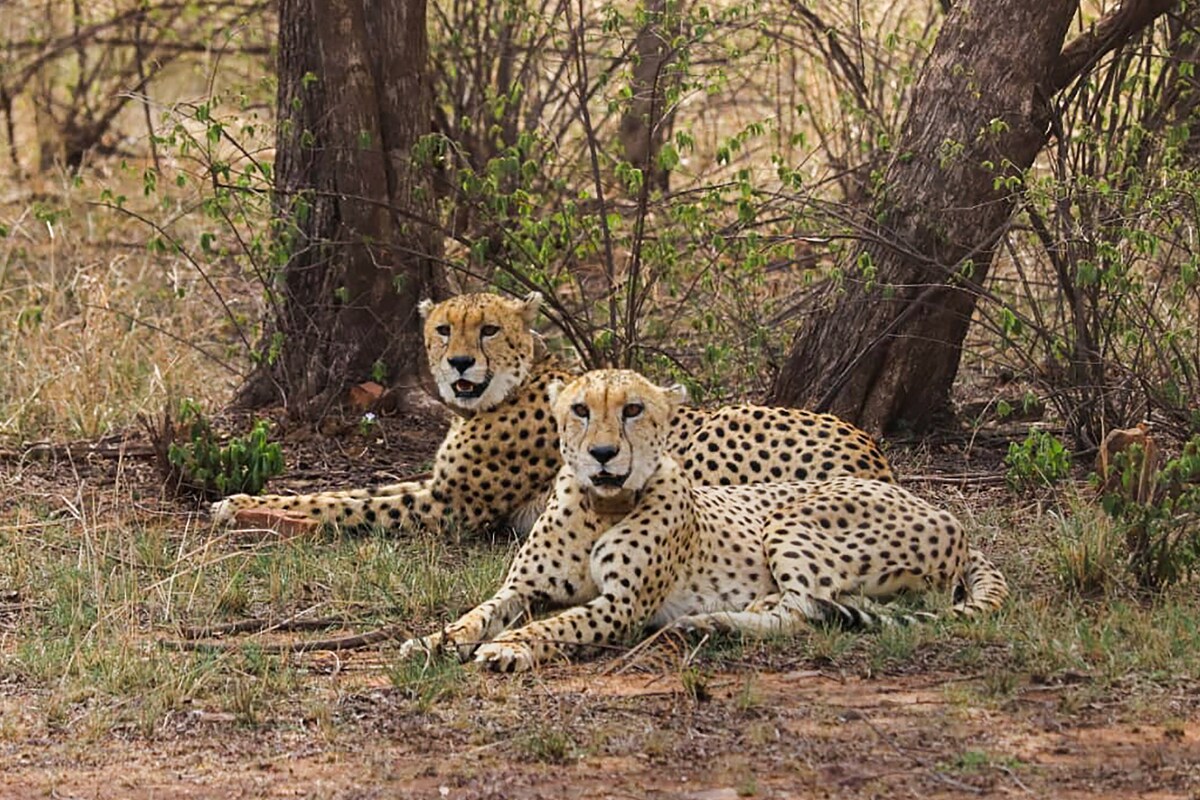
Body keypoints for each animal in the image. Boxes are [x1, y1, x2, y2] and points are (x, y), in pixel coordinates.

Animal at [211, 291, 895, 537]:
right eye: (443, 329)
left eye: (488, 329)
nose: (459, 364)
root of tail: (874, 452)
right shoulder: (438, 486)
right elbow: (350, 489)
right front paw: (243, 500)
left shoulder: (453, 506)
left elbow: (346, 505)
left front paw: (248, 511)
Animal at [399, 368, 1008, 673]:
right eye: (580, 410)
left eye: (633, 409)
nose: (602, 455)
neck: (602, 506)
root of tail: (946, 515)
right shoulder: (523, 587)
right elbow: (478, 613)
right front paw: (434, 640)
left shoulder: (622, 606)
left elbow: (556, 625)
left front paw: (510, 647)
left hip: (790, 519)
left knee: (805, 610)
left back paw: (715, 621)